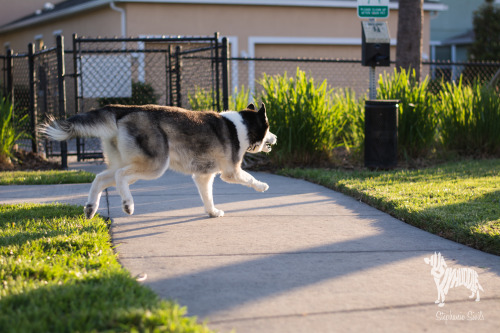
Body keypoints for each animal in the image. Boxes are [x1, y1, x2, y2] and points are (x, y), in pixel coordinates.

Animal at [40, 104, 278, 218]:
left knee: (102, 177)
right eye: (268, 128)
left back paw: (91, 207)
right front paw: (262, 186)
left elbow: (207, 197)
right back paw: (128, 204)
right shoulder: (231, 172)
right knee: (119, 176)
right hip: (155, 165)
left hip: (130, 162)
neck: (241, 127)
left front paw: (212, 212)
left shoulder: (203, 176)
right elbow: (249, 178)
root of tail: (126, 109)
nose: (276, 138)